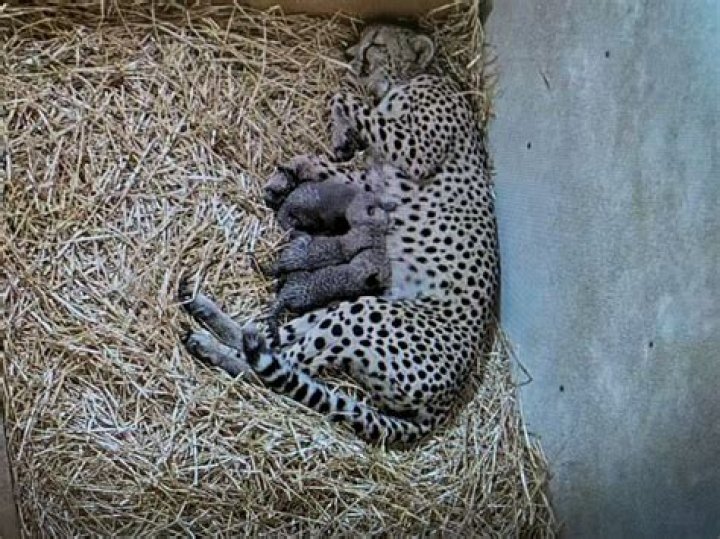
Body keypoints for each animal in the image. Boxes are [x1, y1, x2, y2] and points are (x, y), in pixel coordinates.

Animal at [179, 23, 499, 445]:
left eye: (376, 43)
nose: (350, 53)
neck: (413, 78)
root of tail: (445, 402)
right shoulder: (372, 179)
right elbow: (337, 161)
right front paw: (311, 160)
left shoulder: (415, 152)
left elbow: (347, 99)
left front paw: (335, 131)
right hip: (346, 308)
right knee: (270, 339)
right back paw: (208, 316)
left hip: (366, 316)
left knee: (278, 367)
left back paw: (213, 348)